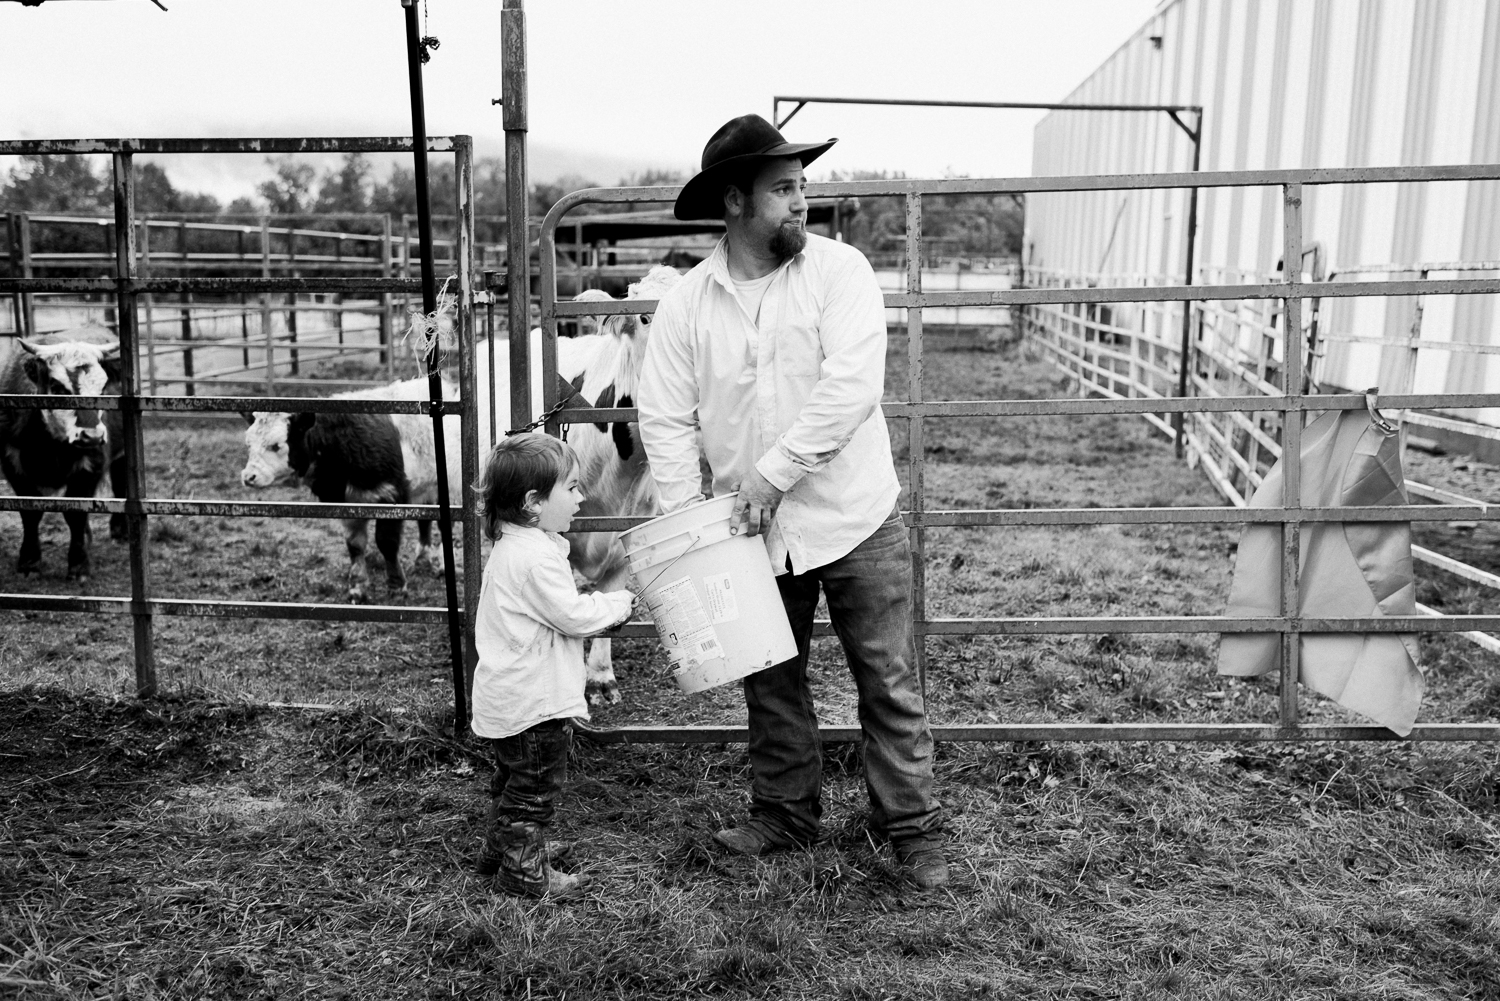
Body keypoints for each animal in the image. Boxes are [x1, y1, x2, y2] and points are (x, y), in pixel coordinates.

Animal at [0, 328, 127, 579]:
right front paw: (29, 561)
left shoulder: (91, 466)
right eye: (59, 389)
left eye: (103, 390)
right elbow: (30, 513)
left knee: (120, 483)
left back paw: (119, 531)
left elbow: (76, 514)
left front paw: (78, 565)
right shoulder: (12, 464)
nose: (92, 436)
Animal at [240, 373, 459, 603]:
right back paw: (423, 558)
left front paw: (396, 585)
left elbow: (386, 542)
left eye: (276, 445)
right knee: (424, 520)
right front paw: (357, 586)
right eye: (249, 444)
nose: (249, 476)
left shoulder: (392, 494)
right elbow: (355, 545)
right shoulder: (347, 503)